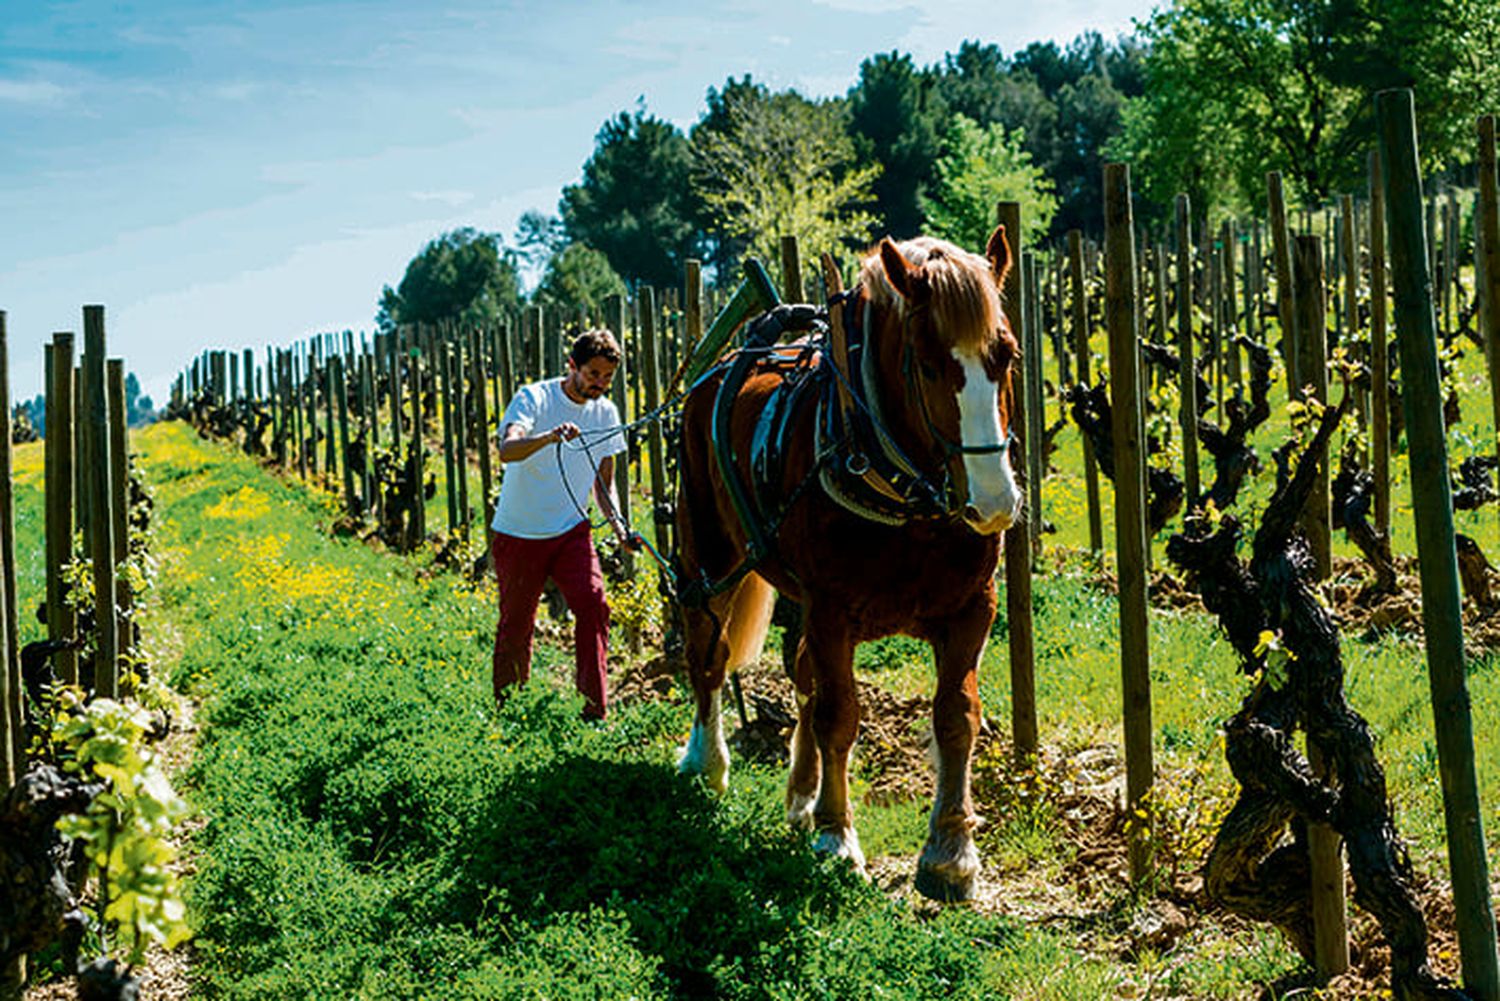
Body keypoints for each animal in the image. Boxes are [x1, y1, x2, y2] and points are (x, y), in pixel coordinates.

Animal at [678, 229, 1020, 906]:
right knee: (709, 653)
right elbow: (840, 716)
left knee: (804, 676)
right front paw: (837, 841)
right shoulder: (832, 608)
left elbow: (956, 716)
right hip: (709, 553)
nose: (994, 501)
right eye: (927, 363)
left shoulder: (972, 608)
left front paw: (951, 852)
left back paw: (802, 793)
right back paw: (707, 762)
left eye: (1008, 355)